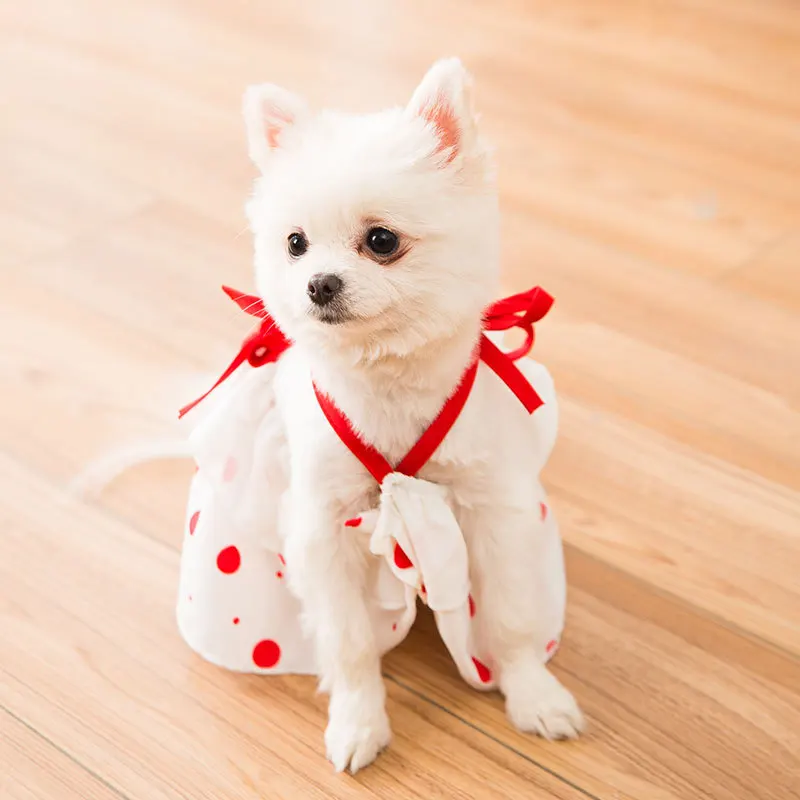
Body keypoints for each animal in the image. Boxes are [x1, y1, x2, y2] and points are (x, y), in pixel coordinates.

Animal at [228, 57, 584, 776]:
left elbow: (511, 617)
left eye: (382, 240)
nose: (318, 283)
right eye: (295, 244)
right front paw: (358, 720)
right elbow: (349, 642)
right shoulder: (324, 528)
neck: (387, 383)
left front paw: (531, 692)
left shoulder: (493, 510)